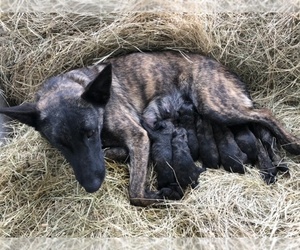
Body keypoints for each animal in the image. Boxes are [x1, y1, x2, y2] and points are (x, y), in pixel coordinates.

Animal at [0, 51, 300, 206]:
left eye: (90, 132)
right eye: (60, 144)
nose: (92, 186)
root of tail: (221, 66)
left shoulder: (138, 136)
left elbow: (135, 193)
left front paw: (164, 195)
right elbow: (111, 155)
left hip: (214, 104)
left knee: (265, 115)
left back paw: (292, 144)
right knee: (257, 129)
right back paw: (269, 165)